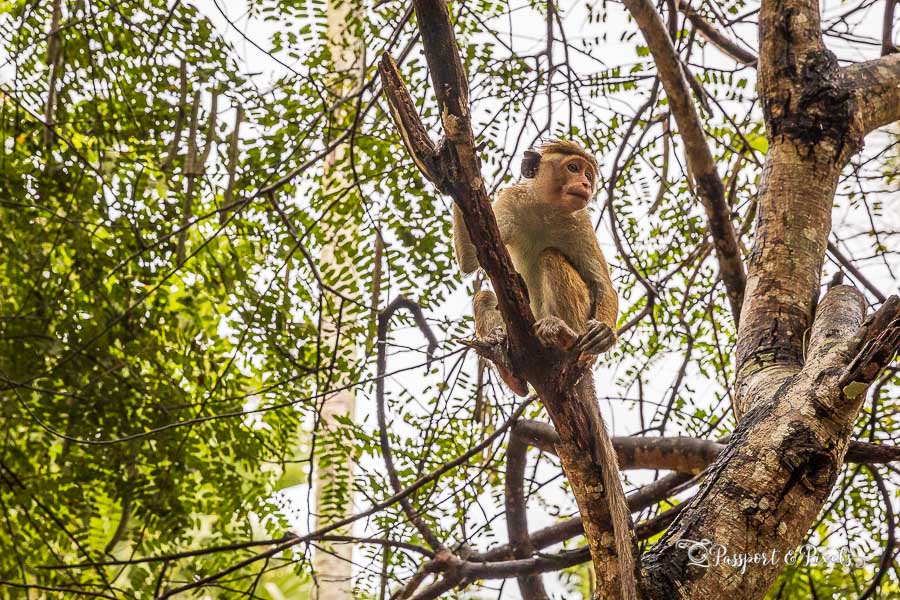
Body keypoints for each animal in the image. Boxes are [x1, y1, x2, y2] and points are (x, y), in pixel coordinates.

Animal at [453, 140, 638, 600]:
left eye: (587, 173)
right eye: (573, 167)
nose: (586, 183)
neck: (545, 206)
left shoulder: (580, 221)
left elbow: (601, 283)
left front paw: (605, 333)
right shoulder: (509, 201)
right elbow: (470, 262)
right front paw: (460, 160)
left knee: (553, 259)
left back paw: (559, 336)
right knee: (486, 296)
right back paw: (509, 365)